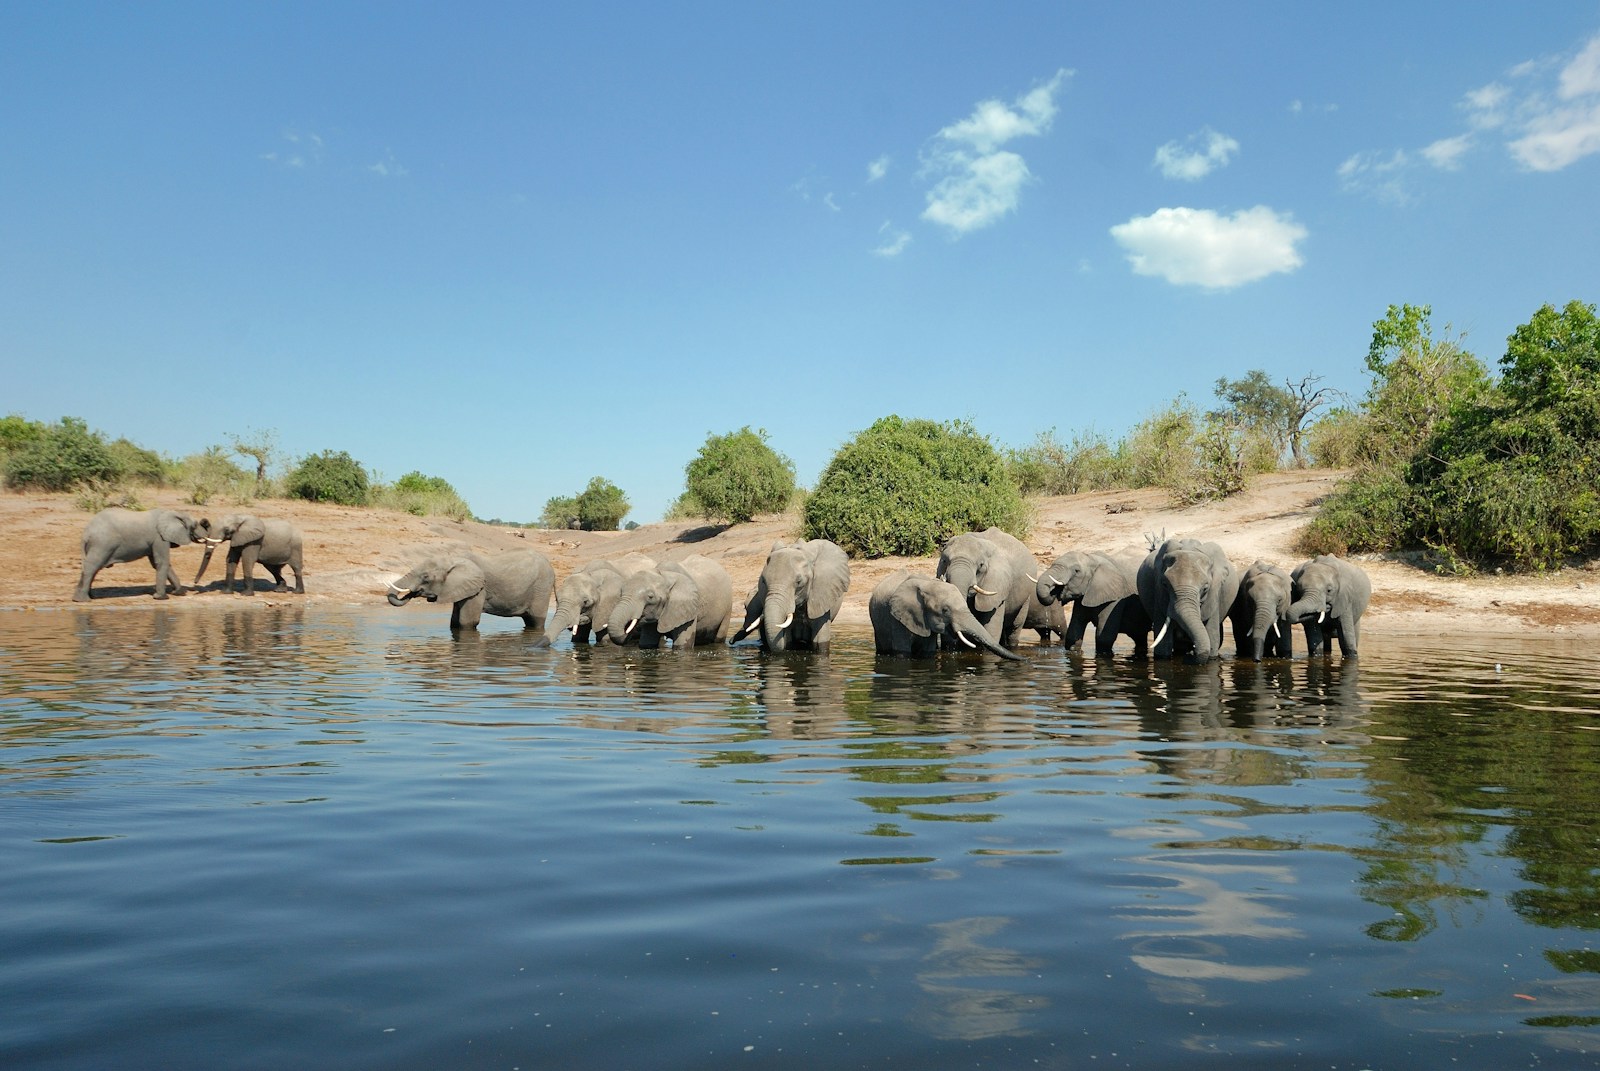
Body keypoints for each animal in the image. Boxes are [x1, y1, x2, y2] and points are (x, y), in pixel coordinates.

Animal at [74, 507, 212, 601]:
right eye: (195, 525)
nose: (204, 521)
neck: (173, 512)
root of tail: (86, 533)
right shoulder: (159, 538)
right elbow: (161, 562)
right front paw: (161, 597)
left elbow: (159, 564)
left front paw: (179, 593)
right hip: (102, 544)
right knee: (92, 567)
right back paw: (83, 600)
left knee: (92, 568)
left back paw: (87, 597)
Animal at [387, 548, 555, 631]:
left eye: (426, 577)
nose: (413, 592)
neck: (453, 559)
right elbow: (454, 622)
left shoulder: (479, 589)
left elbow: (467, 622)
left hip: (542, 588)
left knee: (536, 620)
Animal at [868, 570, 1024, 661]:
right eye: (945, 610)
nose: (1027, 660)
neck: (927, 584)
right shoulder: (896, 619)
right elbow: (902, 652)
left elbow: (928, 651)